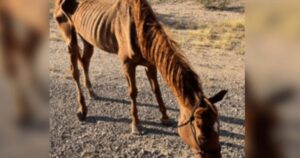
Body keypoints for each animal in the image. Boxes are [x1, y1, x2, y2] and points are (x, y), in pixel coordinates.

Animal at [54, 0, 227, 157]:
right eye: (201, 135)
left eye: (218, 127)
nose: (216, 155)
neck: (138, 30)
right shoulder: (127, 65)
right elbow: (133, 93)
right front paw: (136, 125)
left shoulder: (150, 64)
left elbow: (156, 90)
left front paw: (165, 118)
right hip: (70, 38)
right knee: (75, 71)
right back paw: (82, 110)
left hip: (87, 38)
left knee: (85, 62)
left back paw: (92, 92)